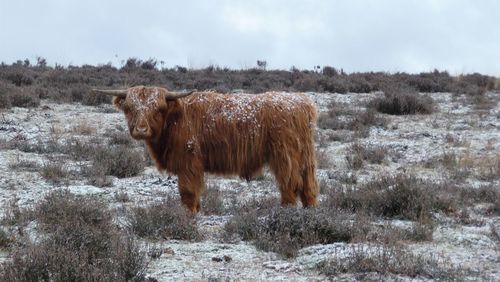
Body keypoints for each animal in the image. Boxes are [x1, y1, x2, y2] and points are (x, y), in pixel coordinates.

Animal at [92, 86, 318, 212]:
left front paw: (188, 214)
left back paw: (286, 211)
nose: (141, 130)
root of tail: (303, 102)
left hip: (284, 155)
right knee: (308, 185)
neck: (174, 120)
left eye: (157, 109)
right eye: (130, 108)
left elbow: (187, 191)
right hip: (306, 156)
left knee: (290, 183)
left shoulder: (189, 161)